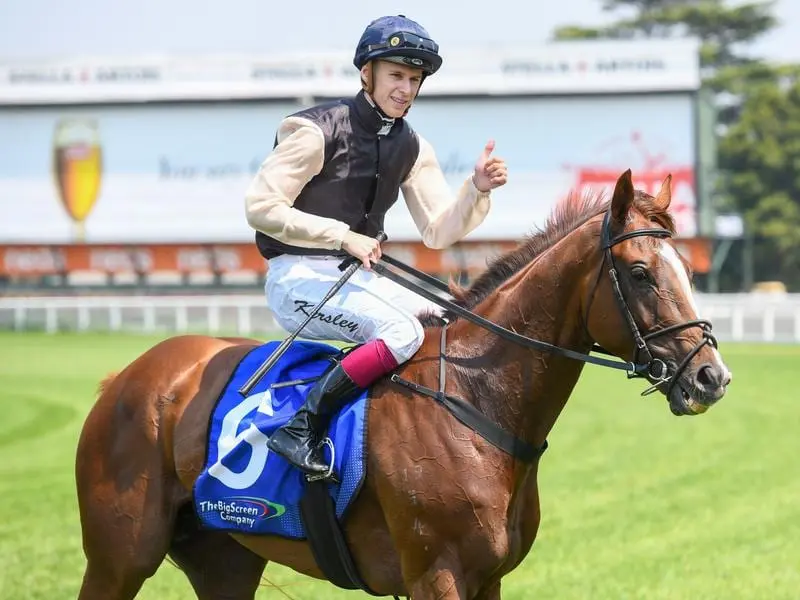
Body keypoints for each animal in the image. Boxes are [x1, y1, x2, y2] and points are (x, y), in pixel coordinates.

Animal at [75, 170, 732, 600]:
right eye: (641, 273)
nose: (711, 377)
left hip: (224, 560)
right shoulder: (435, 574)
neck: (477, 402)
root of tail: (124, 380)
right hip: (118, 559)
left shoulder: (487, 580)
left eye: (688, 269)